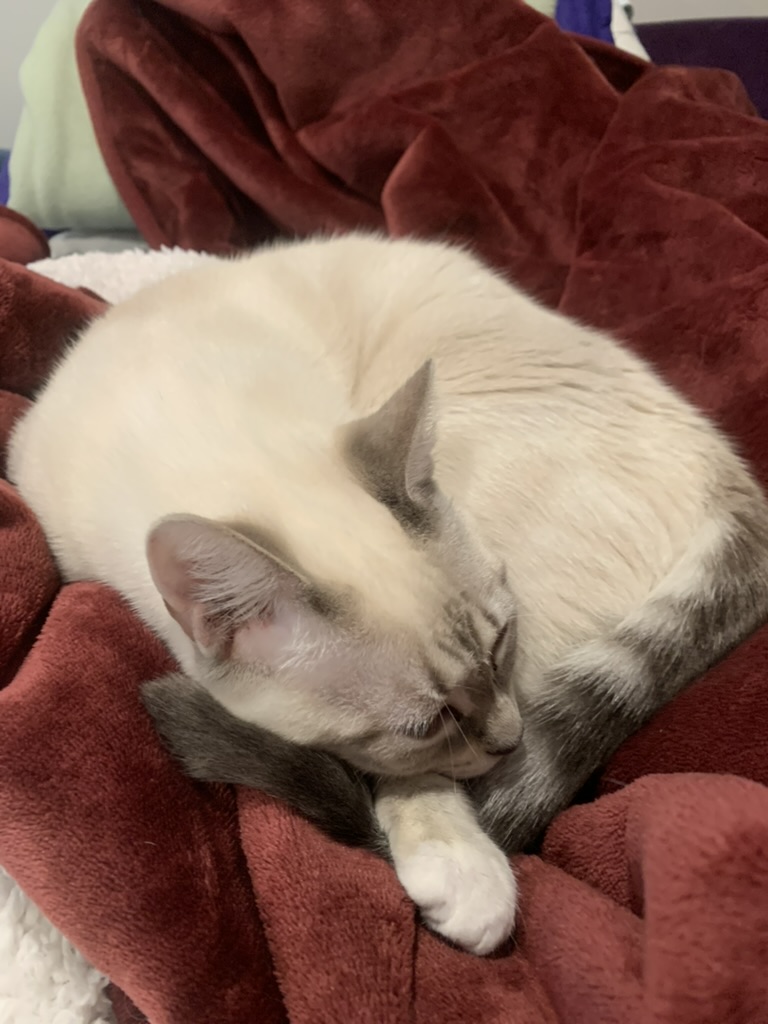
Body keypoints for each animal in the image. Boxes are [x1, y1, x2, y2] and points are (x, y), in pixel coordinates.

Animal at [9, 233, 768, 957]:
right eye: (428, 723)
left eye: (503, 643)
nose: (510, 741)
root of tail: (737, 486)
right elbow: (414, 769)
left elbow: (418, 781)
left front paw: (464, 870)